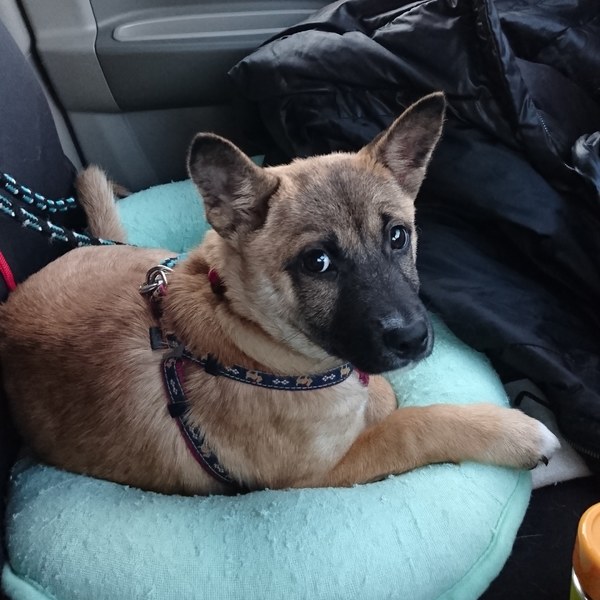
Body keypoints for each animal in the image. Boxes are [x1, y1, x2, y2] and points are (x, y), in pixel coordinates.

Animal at [0, 93, 559, 495]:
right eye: (318, 262)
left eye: (398, 236)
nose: (414, 339)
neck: (249, 344)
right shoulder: (323, 474)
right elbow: (414, 425)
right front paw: (513, 432)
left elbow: (382, 398)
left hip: (156, 259)